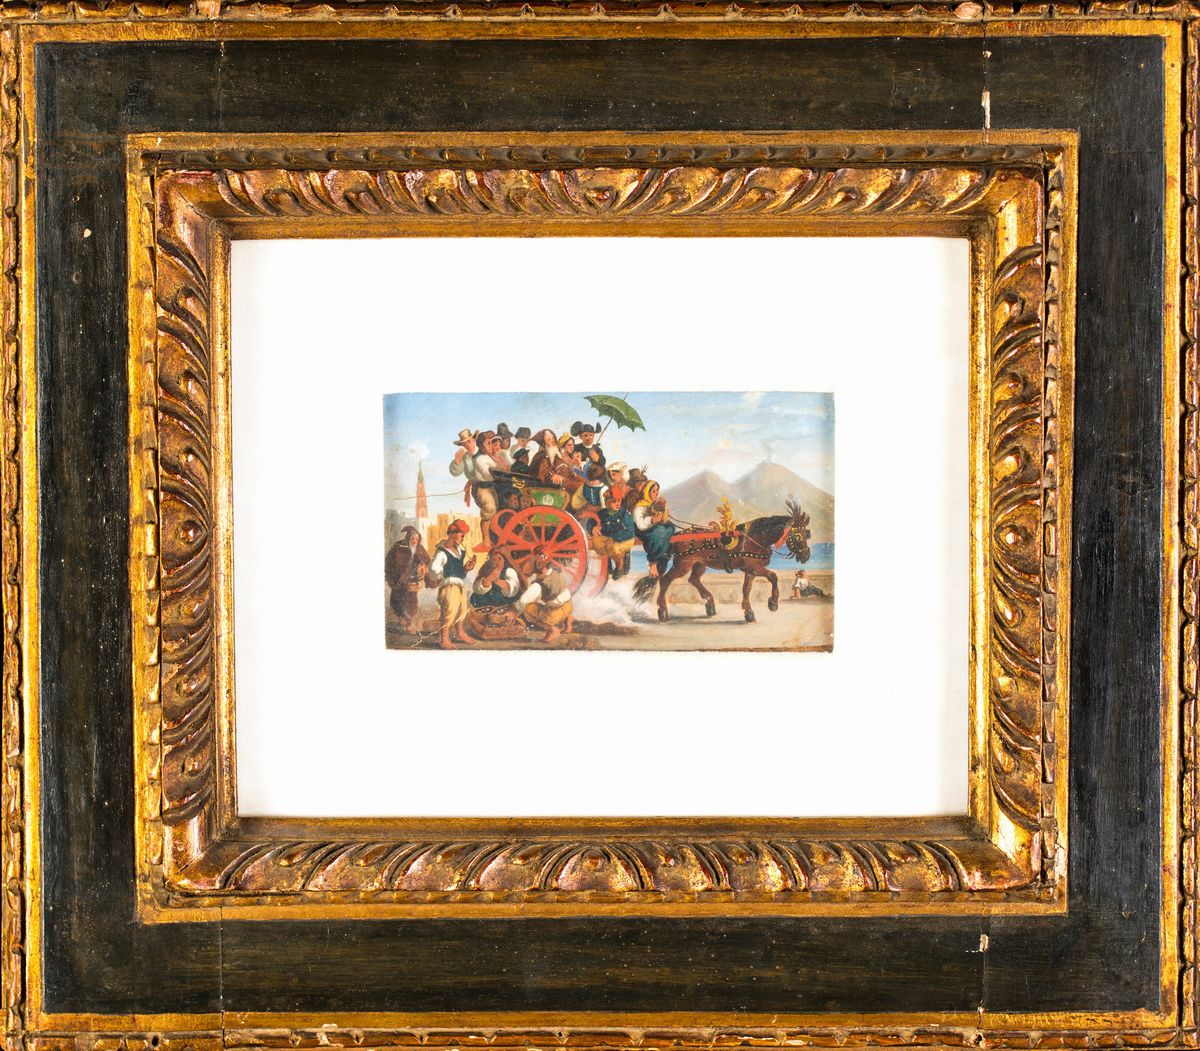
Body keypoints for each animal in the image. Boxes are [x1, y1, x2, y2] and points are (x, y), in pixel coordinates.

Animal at [633, 498, 813, 623]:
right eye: (798, 536)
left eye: (807, 534)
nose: (806, 556)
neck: (755, 538)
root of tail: (675, 536)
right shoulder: (754, 567)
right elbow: (773, 577)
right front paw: (773, 603)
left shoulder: (750, 570)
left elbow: (746, 589)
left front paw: (748, 612)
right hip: (683, 564)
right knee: (665, 580)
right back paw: (662, 611)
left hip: (700, 564)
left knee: (693, 579)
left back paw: (710, 604)